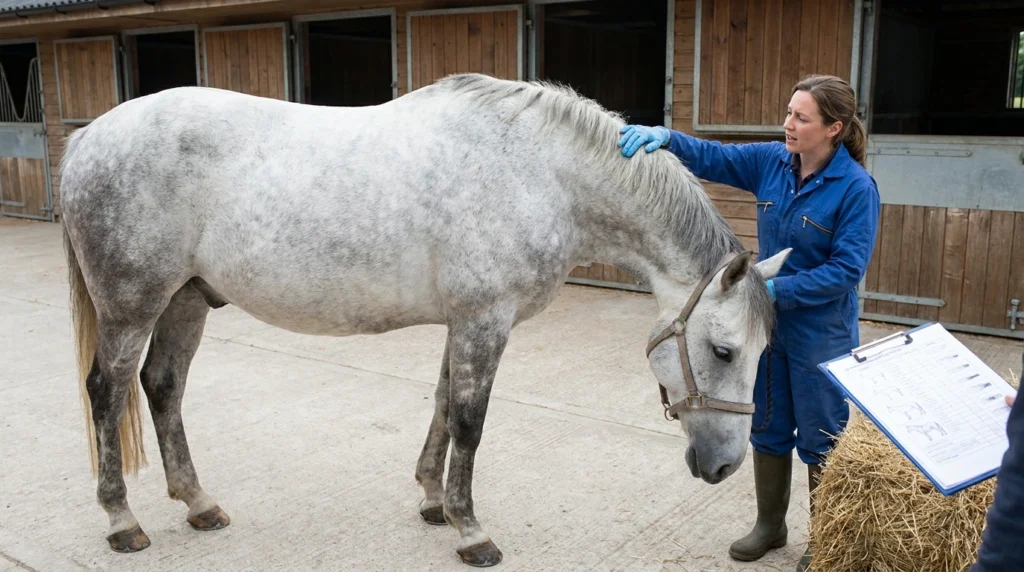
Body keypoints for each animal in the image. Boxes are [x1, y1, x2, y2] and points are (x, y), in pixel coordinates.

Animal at [59, 72, 790, 566]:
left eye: (762, 353)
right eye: (724, 351)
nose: (725, 466)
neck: (541, 174)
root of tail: (90, 137)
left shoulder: (461, 322)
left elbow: (442, 403)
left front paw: (434, 503)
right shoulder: (485, 320)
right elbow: (470, 420)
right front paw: (471, 530)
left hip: (186, 298)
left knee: (162, 387)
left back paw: (199, 503)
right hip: (131, 304)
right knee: (107, 391)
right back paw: (122, 521)